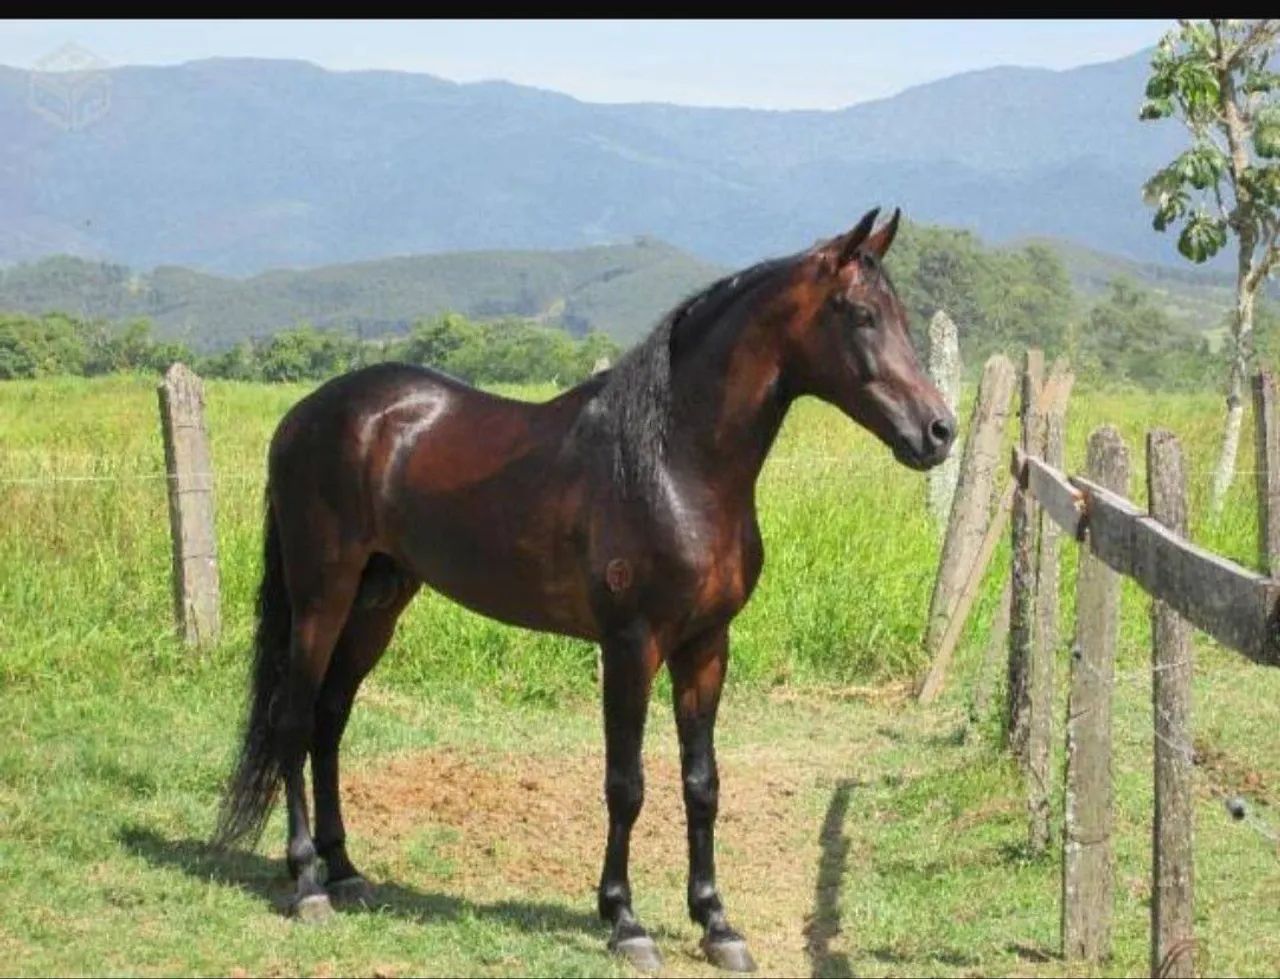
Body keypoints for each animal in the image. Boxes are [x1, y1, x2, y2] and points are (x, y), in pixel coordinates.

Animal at [212, 207, 956, 973]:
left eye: (901, 316)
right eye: (861, 314)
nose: (938, 430)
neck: (675, 466)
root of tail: (306, 415)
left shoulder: (705, 645)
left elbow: (702, 782)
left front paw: (716, 922)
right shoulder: (630, 645)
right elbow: (626, 784)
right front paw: (625, 920)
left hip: (379, 600)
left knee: (330, 719)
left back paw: (346, 870)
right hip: (321, 595)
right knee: (295, 720)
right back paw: (307, 882)